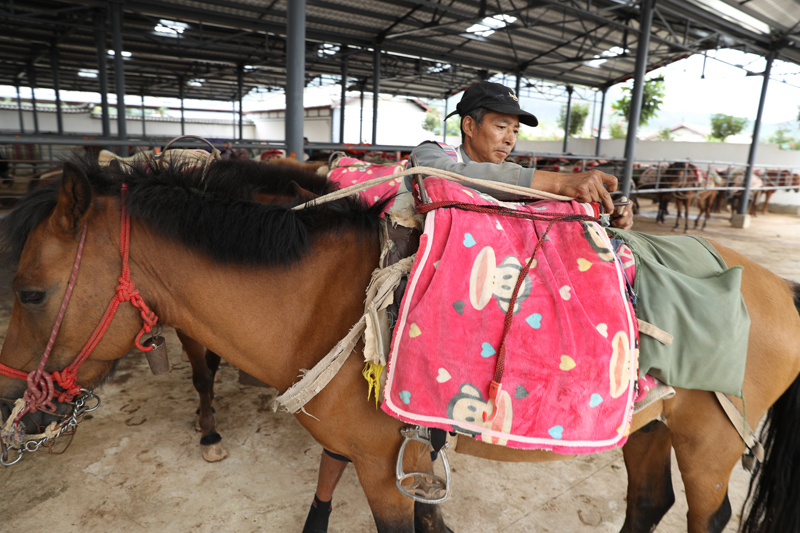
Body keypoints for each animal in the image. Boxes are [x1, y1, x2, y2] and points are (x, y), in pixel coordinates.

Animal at [1, 155, 800, 532]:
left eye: (30, 292)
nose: (13, 396)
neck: (323, 301)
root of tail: (779, 288)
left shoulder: (382, 468)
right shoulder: (354, 442)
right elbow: (325, 498)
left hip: (709, 445)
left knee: (703, 515)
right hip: (651, 425)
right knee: (646, 502)